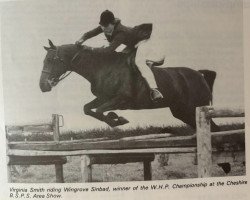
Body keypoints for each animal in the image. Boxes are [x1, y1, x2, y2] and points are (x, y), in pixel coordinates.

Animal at [39, 40, 219, 131]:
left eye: (51, 60)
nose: (43, 86)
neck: (102, 67)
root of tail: (200, 75)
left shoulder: (122, 100)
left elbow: (99, 110)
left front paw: (117, 119)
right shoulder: (103, 97)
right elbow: (88, 109)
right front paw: (114, 118)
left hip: (194, 108)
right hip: (182, 112)